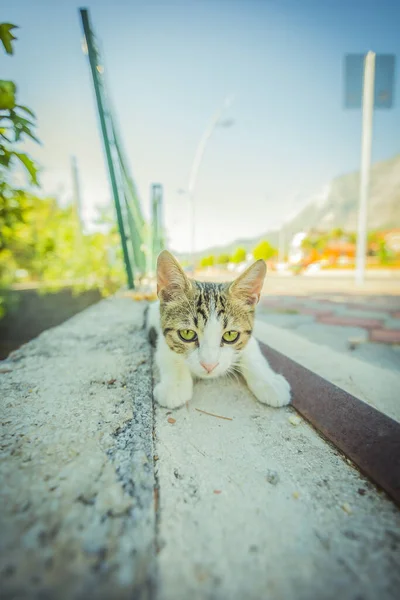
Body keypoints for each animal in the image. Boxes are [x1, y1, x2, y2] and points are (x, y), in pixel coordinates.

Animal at [147, 251, 290, 410]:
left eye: (230, 335)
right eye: (187, 334)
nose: (209, 366)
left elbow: (252, 352)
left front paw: (269, 382)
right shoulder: (160, 334)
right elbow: (168, 353)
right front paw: (175, 385)